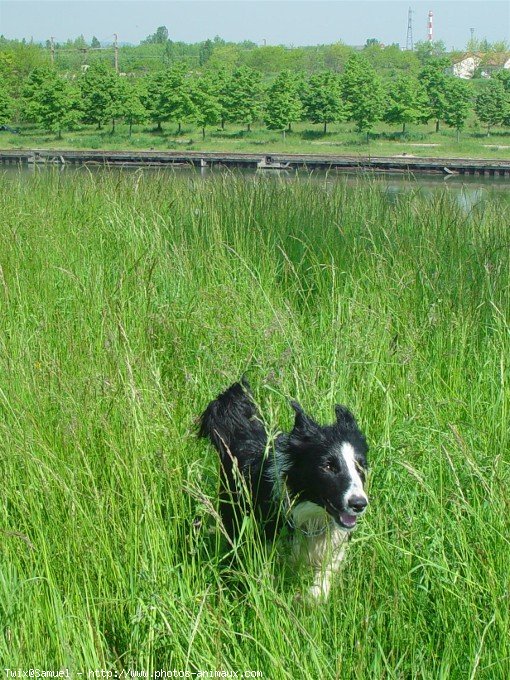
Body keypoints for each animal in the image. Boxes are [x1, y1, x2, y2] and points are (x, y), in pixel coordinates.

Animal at [197, 380, 368, 596]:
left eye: (361, 466)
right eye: (329, 466)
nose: (359, 504)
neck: (311, 513)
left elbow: (322, 583)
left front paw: (308, 597)